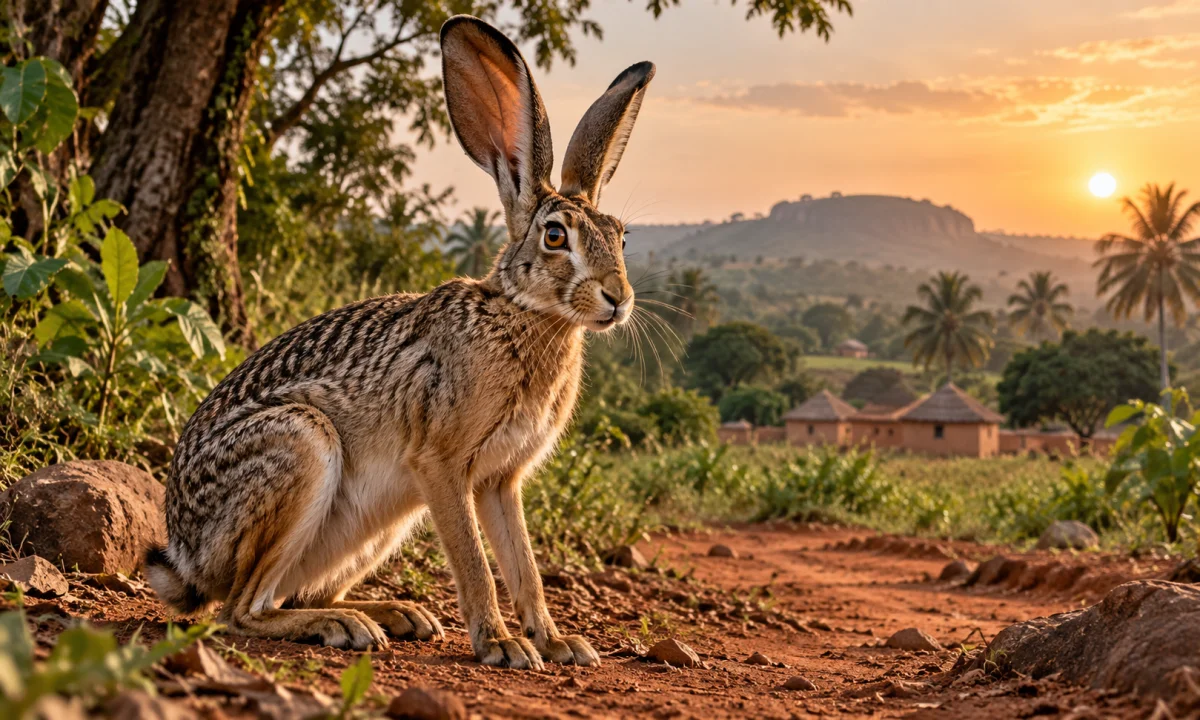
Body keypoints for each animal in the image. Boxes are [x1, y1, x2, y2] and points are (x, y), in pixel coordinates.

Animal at [142, 15, 655, 670]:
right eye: (556, 236)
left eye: (620, 236)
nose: (618, 298)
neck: (523, 313)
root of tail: (186, 556)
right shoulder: (442, 465)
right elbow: (476, 563)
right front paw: (503, 646)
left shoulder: (499, 481)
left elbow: (525, 568)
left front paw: (558, 643)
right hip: (300, 449)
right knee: (241, 610)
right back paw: (346, 626)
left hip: (381, 523)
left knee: (286, 595)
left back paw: (396, 615)